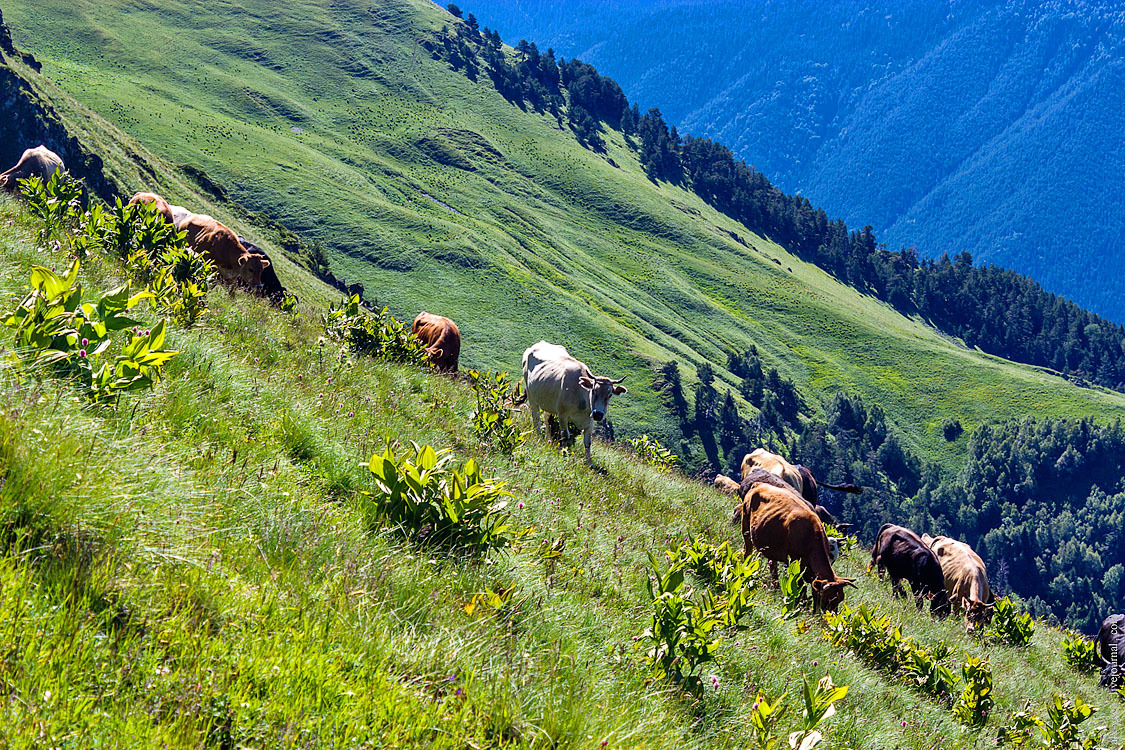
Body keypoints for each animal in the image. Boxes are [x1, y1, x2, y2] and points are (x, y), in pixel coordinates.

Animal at [729, 479, 850, 611]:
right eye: (829, 598)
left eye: (840, 598)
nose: (831, 615)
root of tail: (759, 484)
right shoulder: (793, 562)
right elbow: (800, 586)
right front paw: (800, 604)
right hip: (746, 529)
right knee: (747, 552)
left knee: (772, 565)